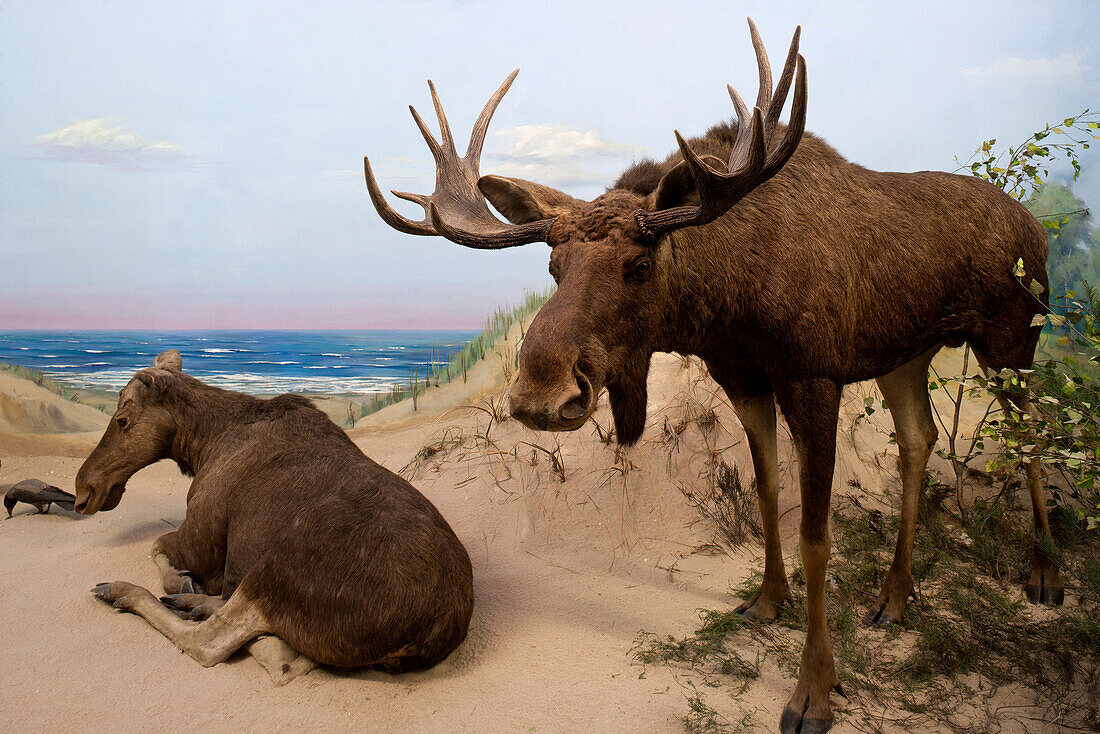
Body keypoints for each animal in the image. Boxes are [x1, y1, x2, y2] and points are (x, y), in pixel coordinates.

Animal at [76, 349, 473, 682]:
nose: (84, 490)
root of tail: (434, 630)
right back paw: (194, 604)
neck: (202, 444)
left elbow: (158, 546)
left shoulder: (201, 543)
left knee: (218, 643)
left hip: (275, 570)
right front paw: (186, 589)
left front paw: (180, 582)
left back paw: (123, 591)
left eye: (122, 419)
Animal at [365, 20, 1060, 730]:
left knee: (1033, 434)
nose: (540, 394)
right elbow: (765, 490)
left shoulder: (814, 379)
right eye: (554, 266)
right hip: (907, 356)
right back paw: (896, 596)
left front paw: (814, 690)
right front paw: (767, 601)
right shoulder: (743, 378)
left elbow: (816, 537)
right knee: (918, 440)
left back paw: (1045, 574)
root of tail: (1036, 226)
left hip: (1013, 339)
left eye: (640, 265)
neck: (731, 295)